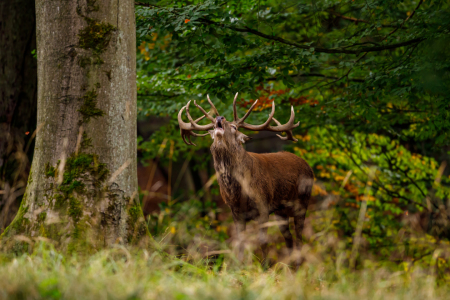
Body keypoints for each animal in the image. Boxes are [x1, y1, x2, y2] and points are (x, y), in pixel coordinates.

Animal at [178, 93, 314, 260]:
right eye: (212, 127)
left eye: (235, 127)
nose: (219, 117)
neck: (238, 193)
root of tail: (308, 166)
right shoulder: (236, 212)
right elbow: (240, 243)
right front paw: (240, 265)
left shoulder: (263, 206)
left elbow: (263, 242)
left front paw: (265, 265)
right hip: (281, 210)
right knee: (288, 237)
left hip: (303, 200)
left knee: (299, 235)